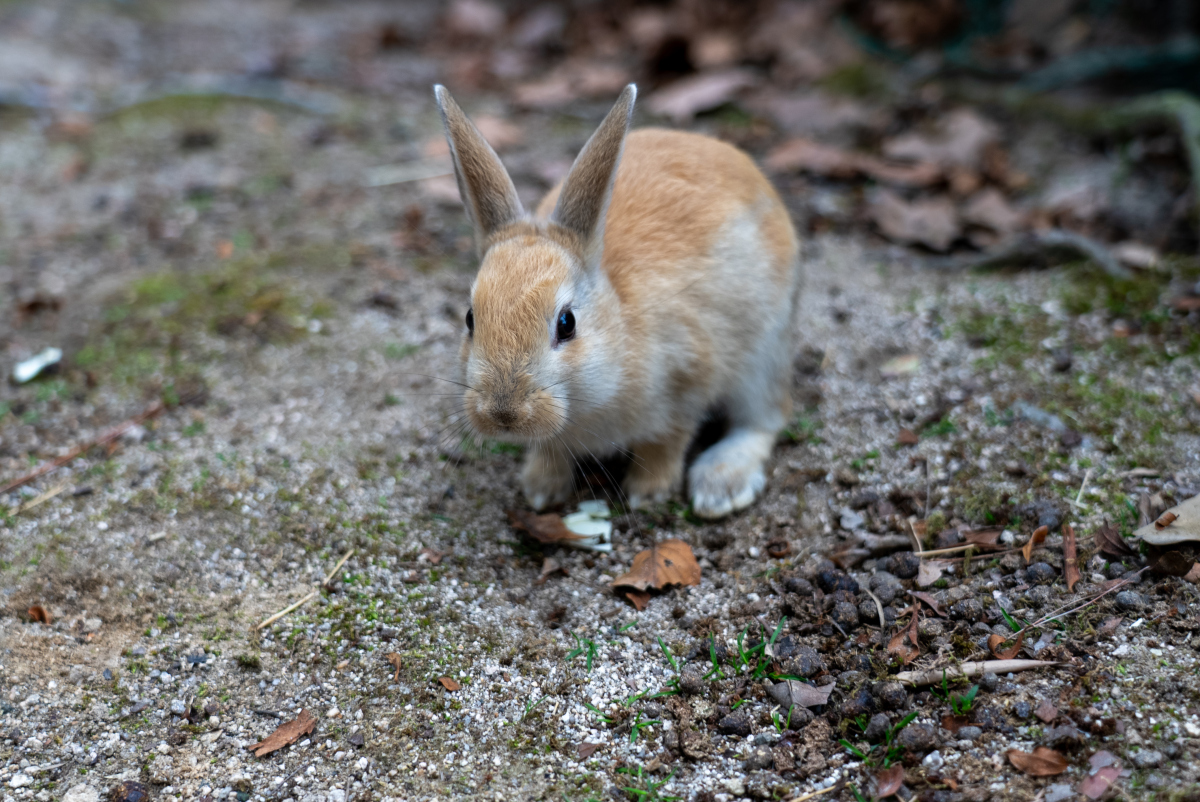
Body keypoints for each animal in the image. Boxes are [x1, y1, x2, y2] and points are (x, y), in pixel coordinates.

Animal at [436, 82, 801, 521]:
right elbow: (552, 449)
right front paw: (541, 489)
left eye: (567, 323)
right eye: (470, 319)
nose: (504, 414)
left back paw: (721, 485)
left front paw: (649, 492)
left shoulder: (688, 380)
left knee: (765, 418)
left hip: (764, 353)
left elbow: (668, 440)